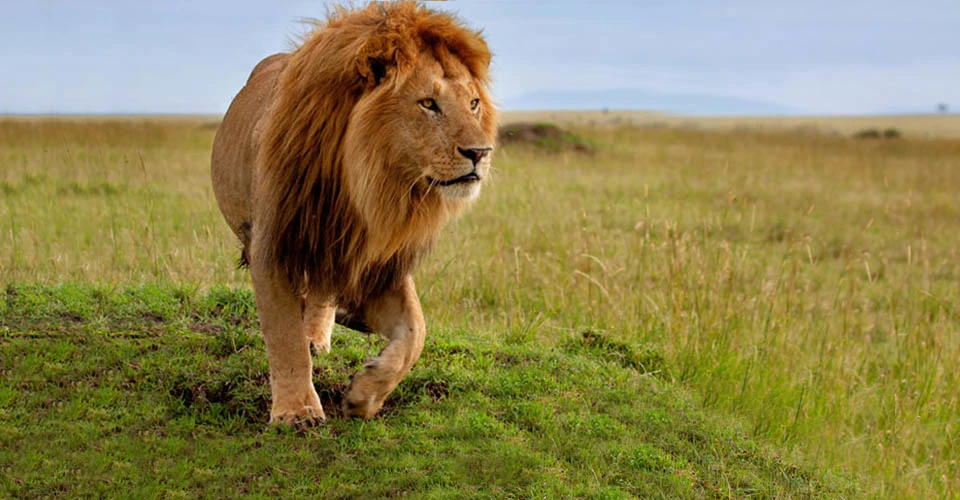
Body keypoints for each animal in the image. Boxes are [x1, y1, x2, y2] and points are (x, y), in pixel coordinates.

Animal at [210, 1, 496, 425]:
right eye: (428, 103)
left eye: (473, 104)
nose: (480, 153)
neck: (366, 187)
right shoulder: (275, 245)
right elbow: (284, 336)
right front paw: (297, 412)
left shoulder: (379, 262)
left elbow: (416, 331)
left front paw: (365, 394)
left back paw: (324, 333)